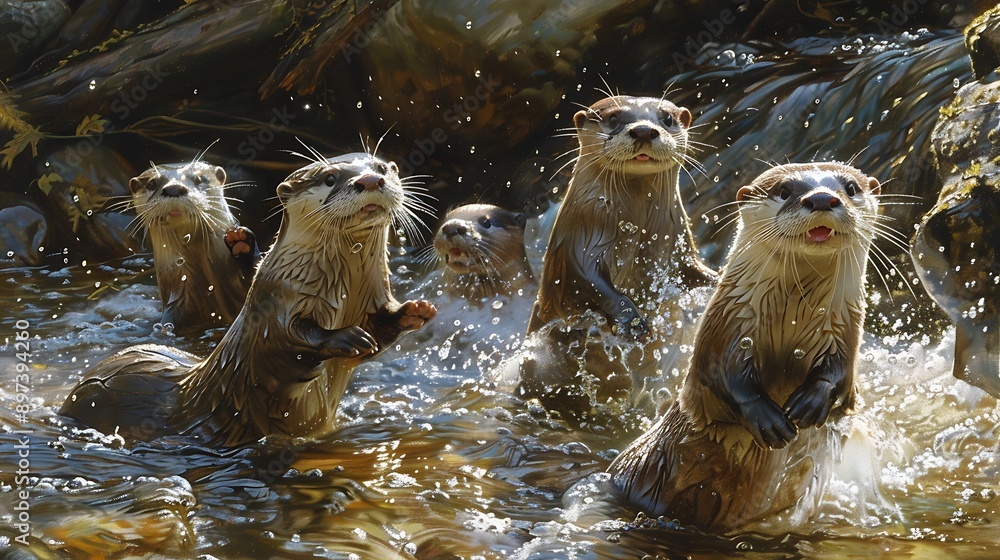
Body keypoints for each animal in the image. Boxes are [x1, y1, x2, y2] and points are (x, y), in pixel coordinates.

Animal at [520, 95, 717, 416]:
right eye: (613, 119)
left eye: (666, 118)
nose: (644, 130)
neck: (637, 229)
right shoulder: (579, 243)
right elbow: (586, 283)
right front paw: (632, 322)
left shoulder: (678, 247)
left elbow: (695, 272)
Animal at [609, 162, 882, 532]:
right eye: (784, 190)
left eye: (851, 187)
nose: (823, 198)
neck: (791, 323)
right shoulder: (728, 325)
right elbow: (720, 374)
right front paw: (766, 418)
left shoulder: (845, 332)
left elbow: (840, 377)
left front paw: (812, 400)